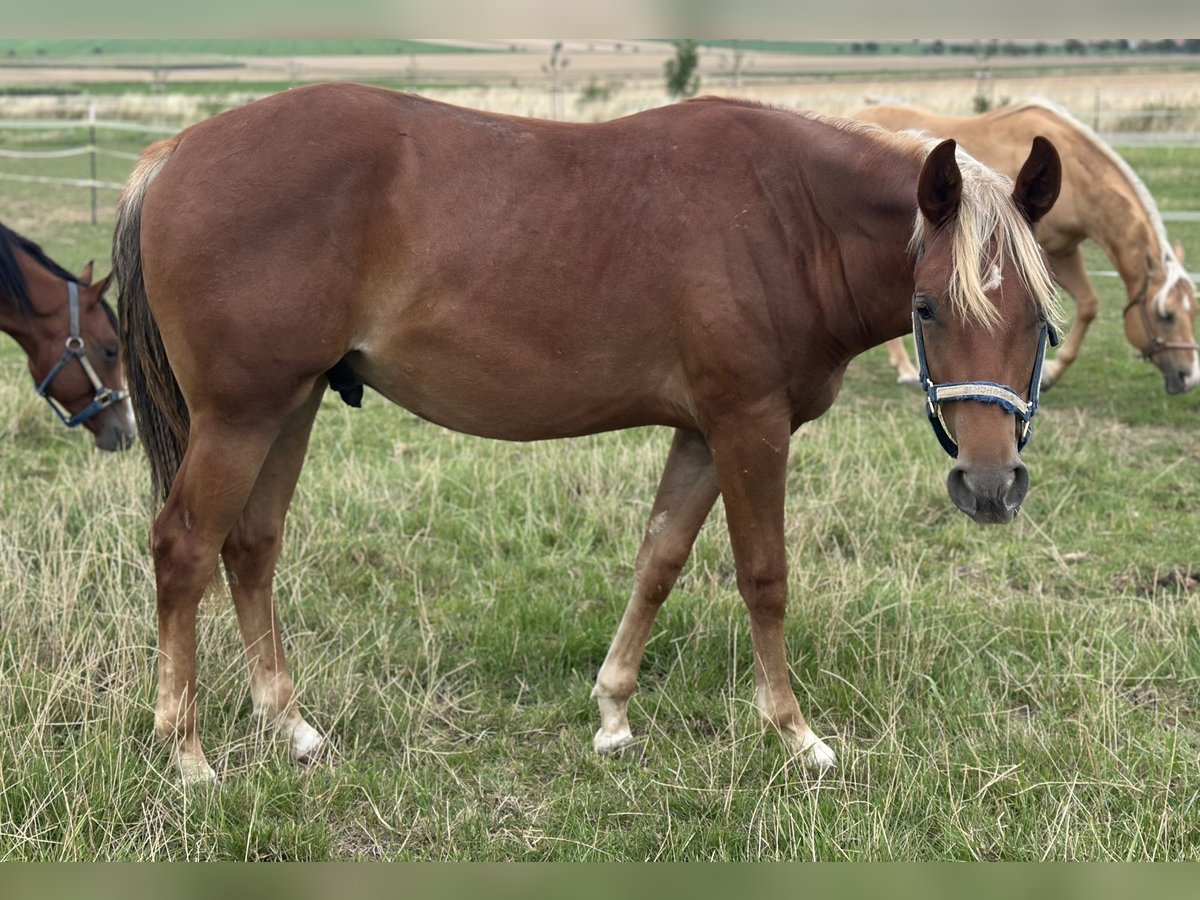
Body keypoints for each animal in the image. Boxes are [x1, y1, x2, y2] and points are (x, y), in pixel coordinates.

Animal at [114, 84, 1062, 784]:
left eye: (1040, 319)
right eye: (929, 306)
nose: (990, 486)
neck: (788, 215)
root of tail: (175, 154)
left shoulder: (703, 433)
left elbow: (659, 561)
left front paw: (612, 713)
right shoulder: (750, 424)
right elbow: (764, 578)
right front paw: (796, 735)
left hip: (292, 404)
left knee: (252, 548)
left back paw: (290, 726)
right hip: (239, 418)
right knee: (184, 550)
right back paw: (187, 754)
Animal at [850, 99, 1199, 394]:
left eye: (1192, 309)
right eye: (1166, 315)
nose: (1189, 377)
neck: (1075, 175)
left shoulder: (1065, 251)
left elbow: (1088, 305)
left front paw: (1051, 373)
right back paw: (906, 369)